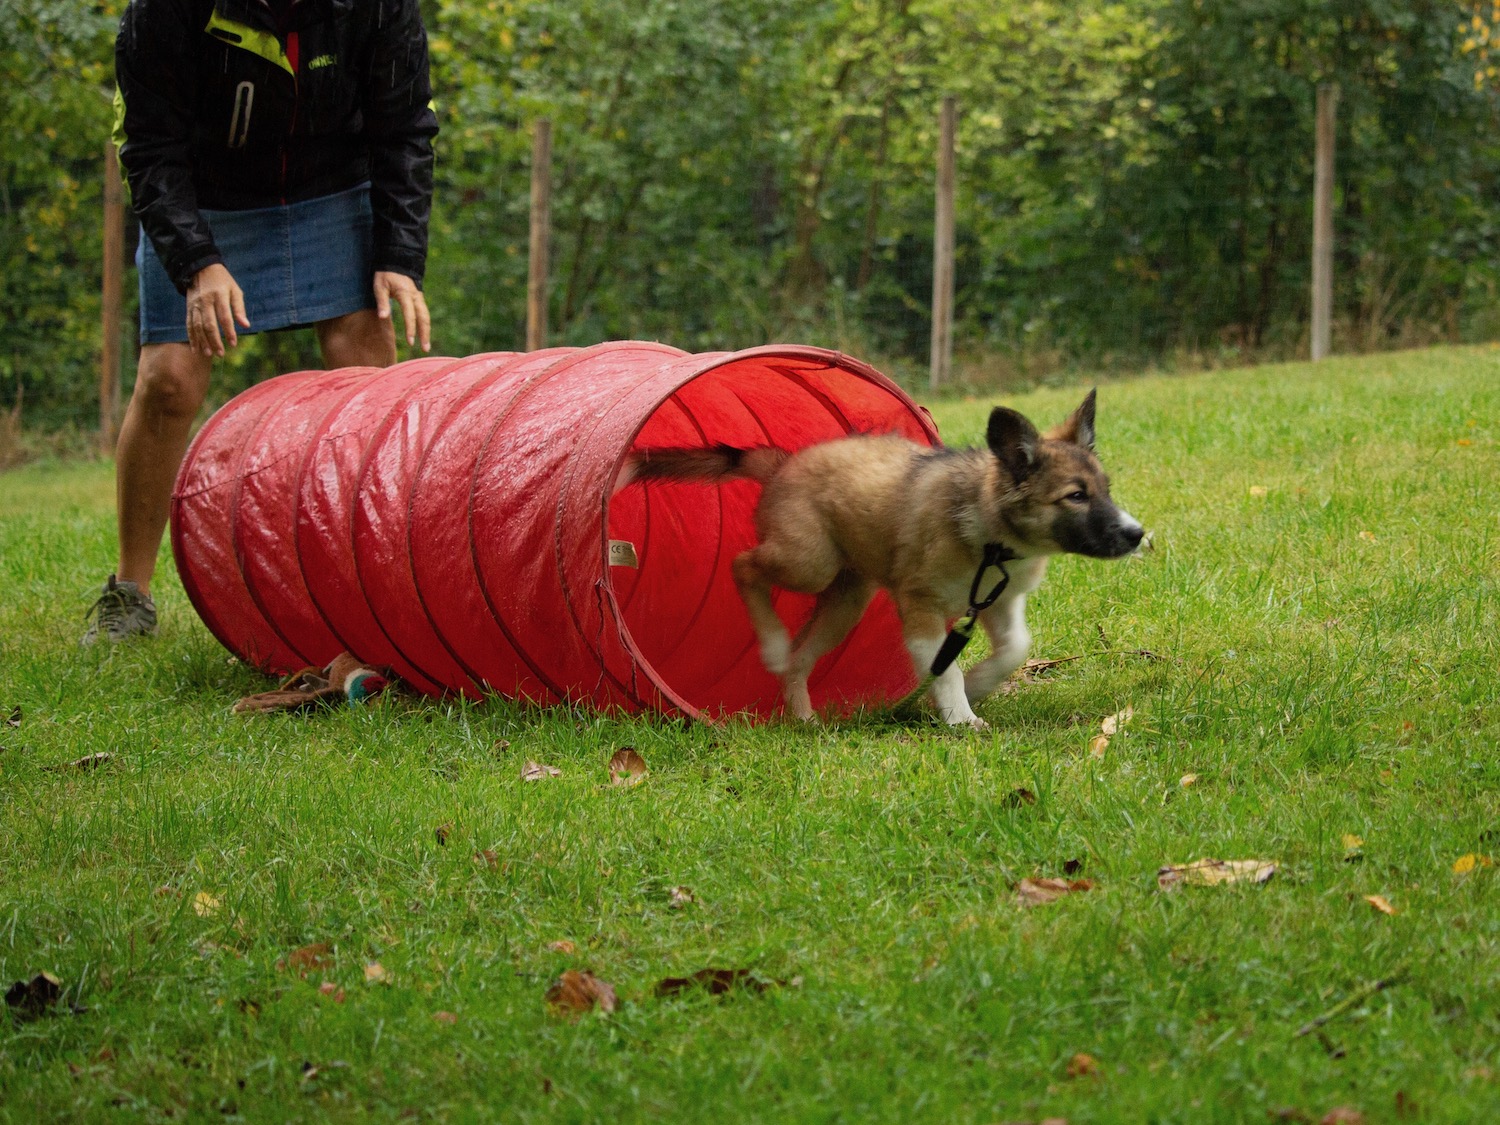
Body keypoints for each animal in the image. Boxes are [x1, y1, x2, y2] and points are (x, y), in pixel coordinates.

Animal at [627, 393, 1140, 732]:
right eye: (1075, 496)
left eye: (1106, 490)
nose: (1137, 535)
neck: (992, 538)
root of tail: (783, 464)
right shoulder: (920, 606)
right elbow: (944, 668)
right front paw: (960, 717)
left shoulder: (1000, 603)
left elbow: (1015, 649)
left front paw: (977, 687)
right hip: (808, 563)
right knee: (743, 566)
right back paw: (771, 644)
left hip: (845, 604)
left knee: (800, 658)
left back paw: (805, 717)